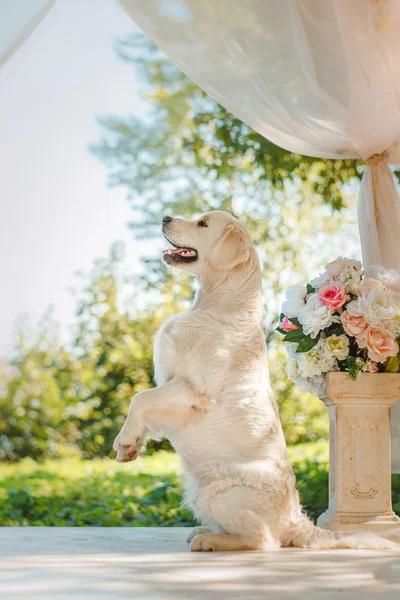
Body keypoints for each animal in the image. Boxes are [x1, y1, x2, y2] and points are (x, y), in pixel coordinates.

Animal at [113, 211, 400, 552]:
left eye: (202, 224)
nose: (165, 216)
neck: (216, 302)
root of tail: (295, 520)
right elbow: (145, 404)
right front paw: (132, 447)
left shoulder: (193, 390)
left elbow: (140, 398)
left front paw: (124, 440)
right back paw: (205, 532)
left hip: (214, 490)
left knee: (262, 539)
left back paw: (210, 540)